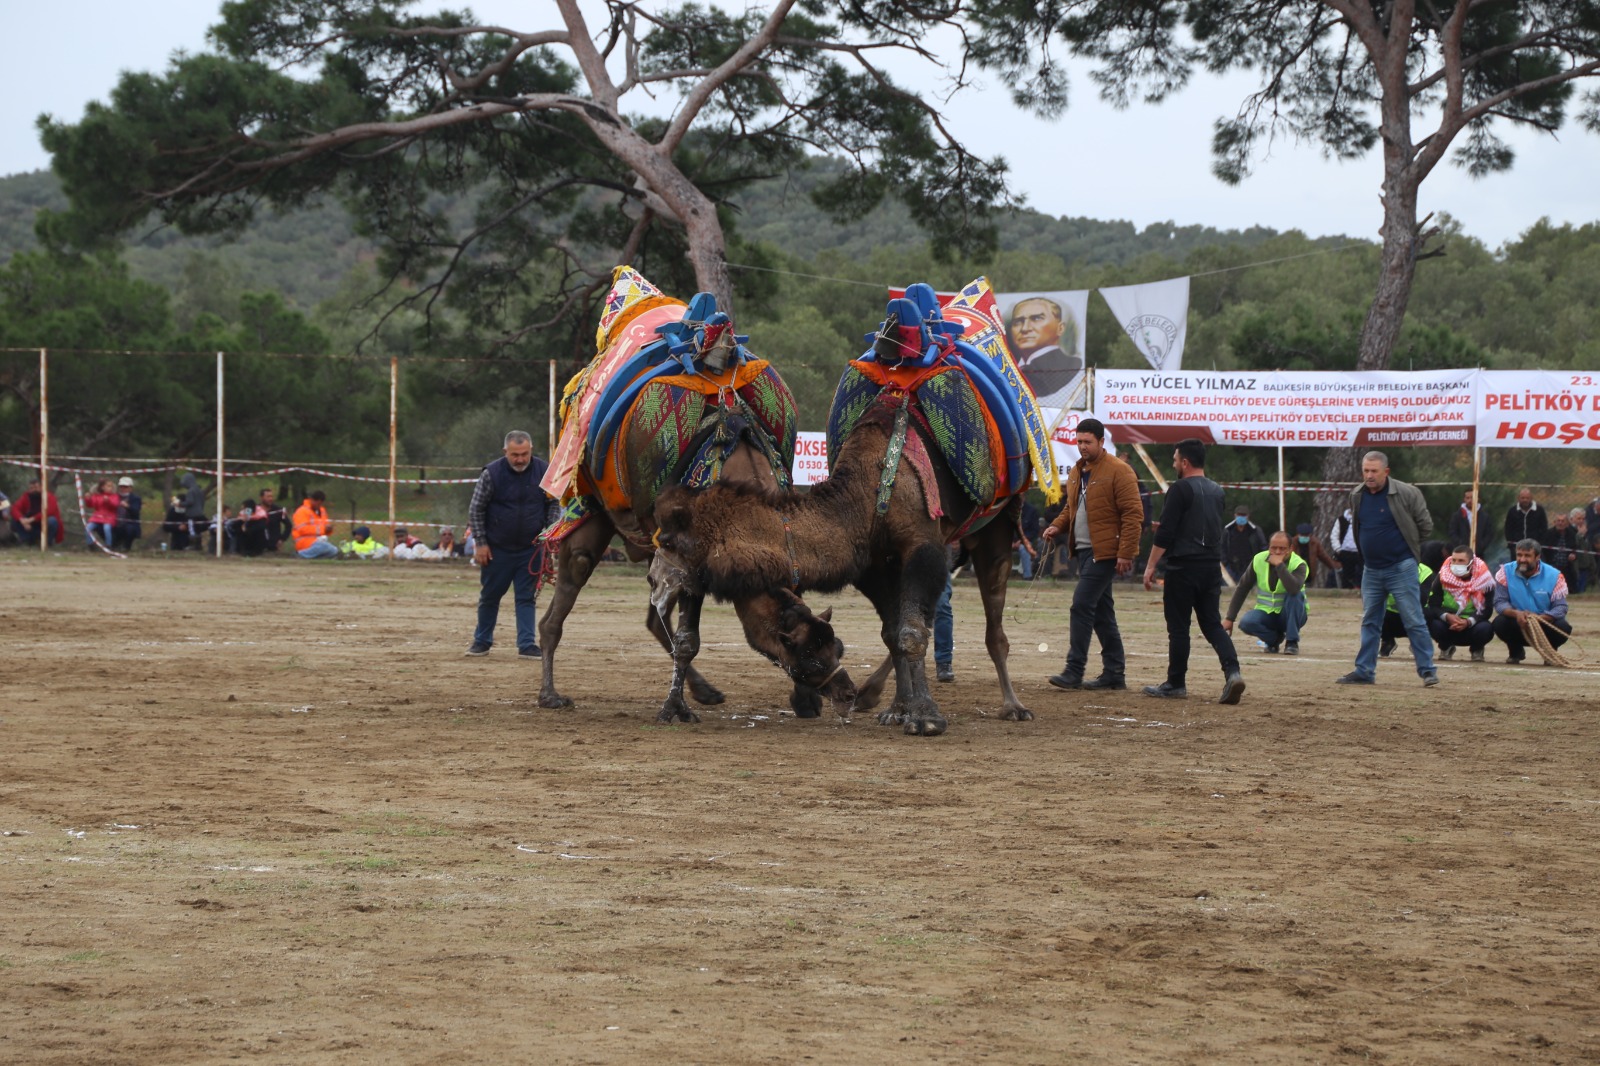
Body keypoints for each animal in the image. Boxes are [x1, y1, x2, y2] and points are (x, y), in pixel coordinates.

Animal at [537, 416, 857, 723]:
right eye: (807, 657)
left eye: (838, 647)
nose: (848, 692)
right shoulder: (691, 568)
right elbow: (688, 641)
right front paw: (674, 709)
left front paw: (806, 702)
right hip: (592, 508)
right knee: (569, 584)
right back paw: (549, 695)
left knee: (655, 618)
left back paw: (705, 690)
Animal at [656, 419, 1030, 736]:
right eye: (810, 653)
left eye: (672, 538)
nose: (657, 574)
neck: (868, 492)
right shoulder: (873, 564)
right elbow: (894, 632)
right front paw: (899, 710)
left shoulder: (924, 546)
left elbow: (911, 632)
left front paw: (925, 716)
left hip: (994, 532)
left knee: (993, 627)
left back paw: (1014, 706)